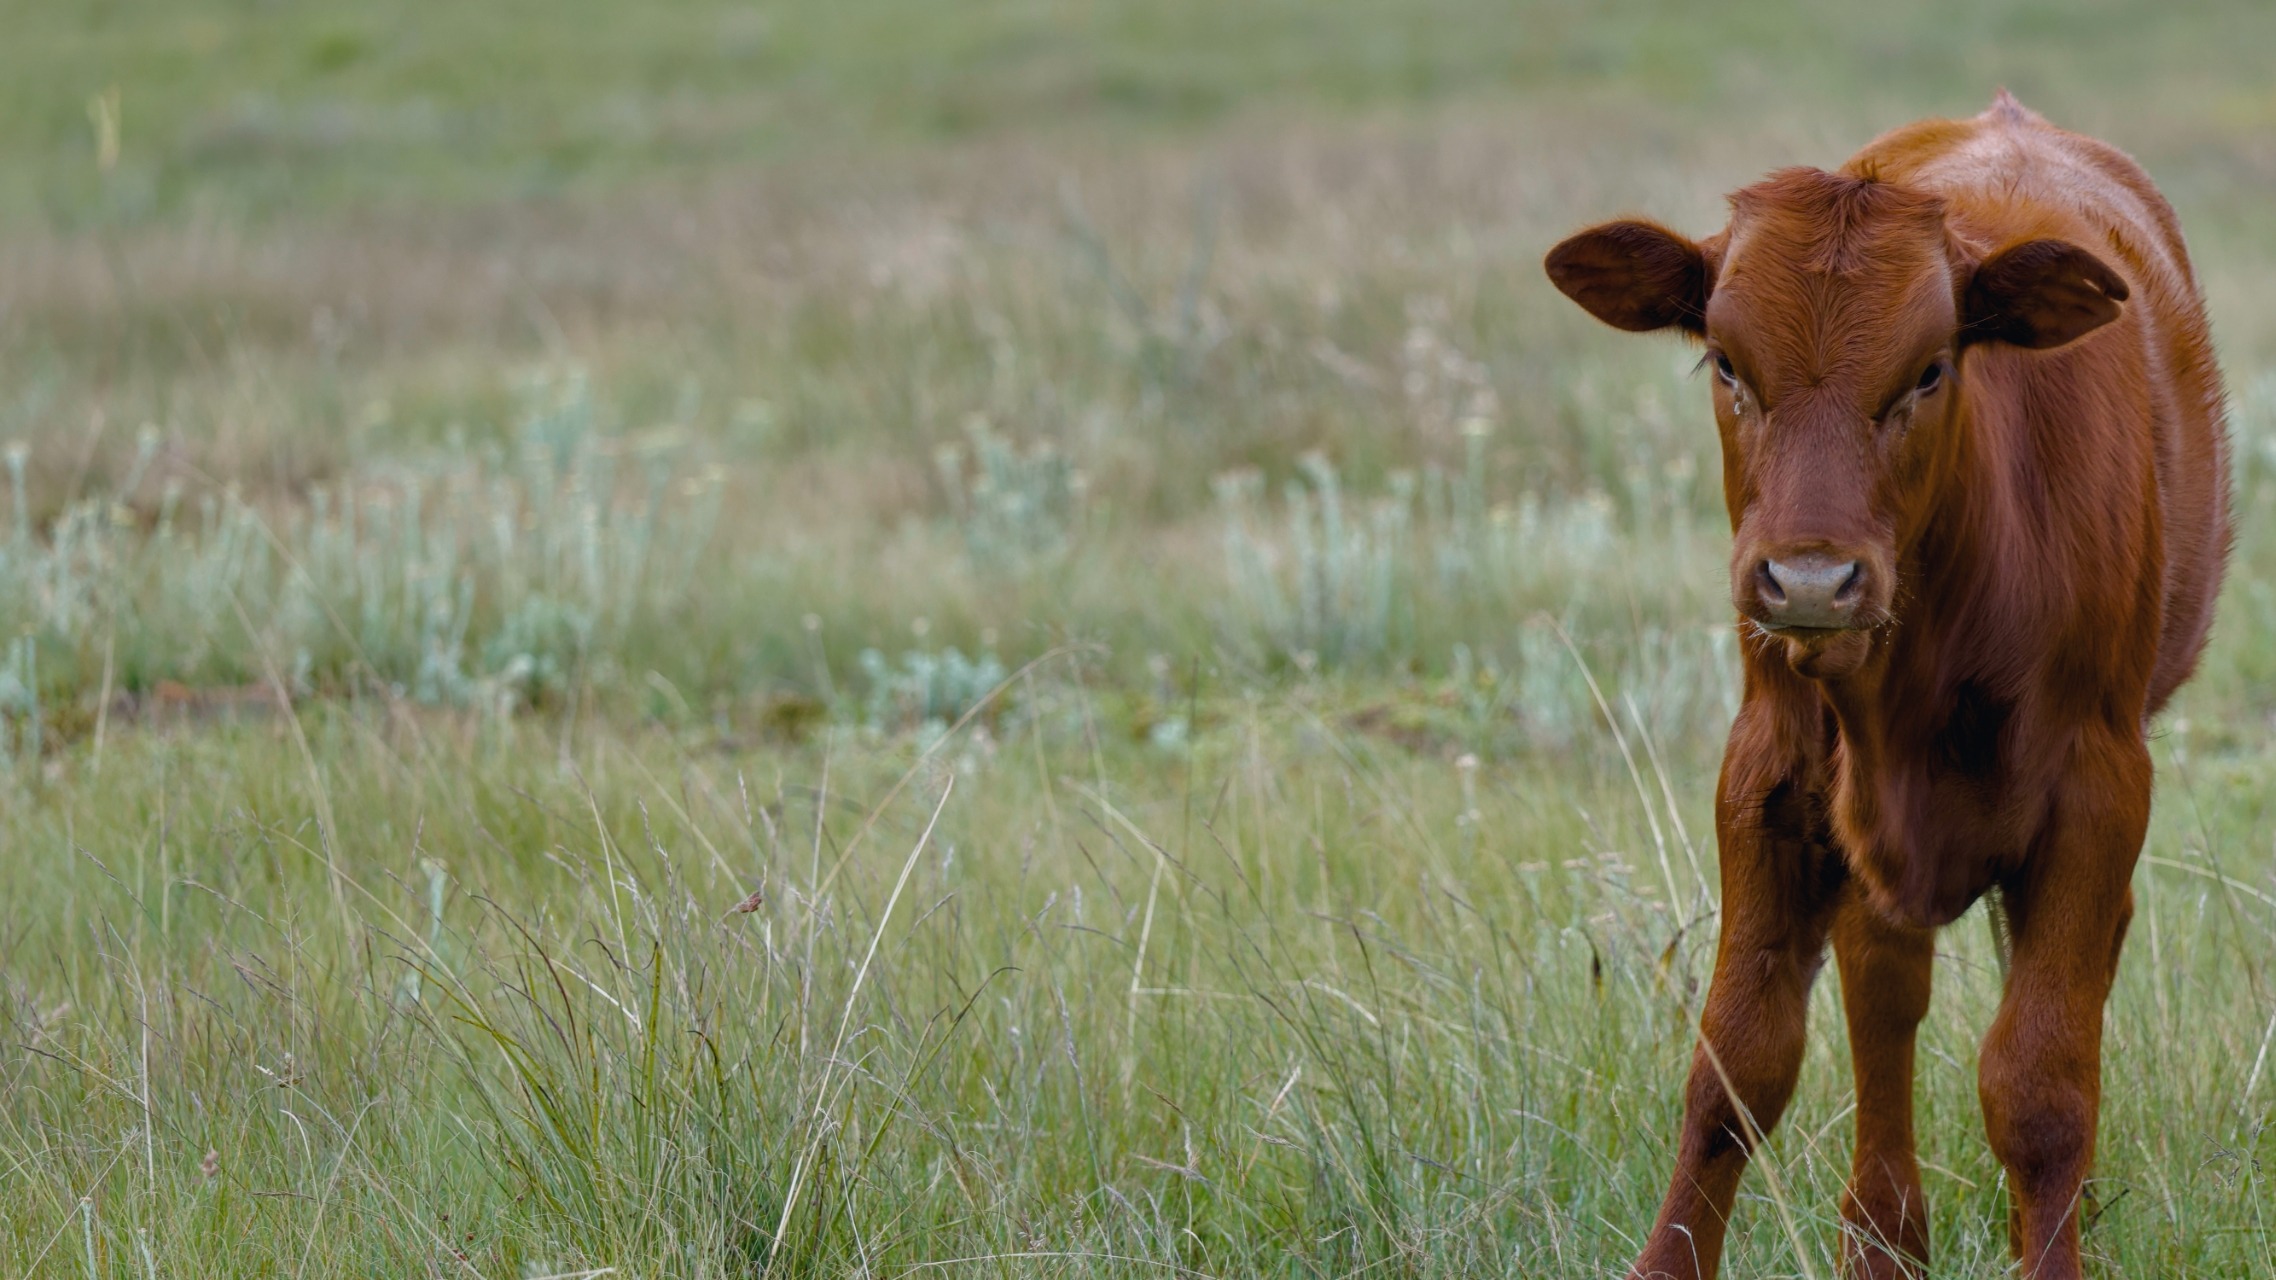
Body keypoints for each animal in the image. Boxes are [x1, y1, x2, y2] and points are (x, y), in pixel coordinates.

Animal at [1542, 91, 2229, 1280]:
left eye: (1930, 370)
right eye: (1725, 363)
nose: (1811, 578)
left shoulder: (2099, 787)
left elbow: (2040, 1082)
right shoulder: (1768, 775)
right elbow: (1735, 1065)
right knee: (1883, 985)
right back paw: (1882, 1238)